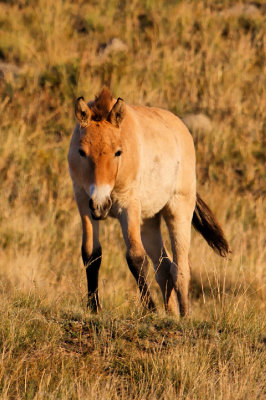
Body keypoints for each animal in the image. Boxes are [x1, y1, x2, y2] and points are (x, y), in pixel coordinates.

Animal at [67, 86, 229, 316]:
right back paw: (171, 315)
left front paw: (150, 310)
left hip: (178, 210)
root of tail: (182, 130)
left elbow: (136, 257)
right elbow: (91, 254)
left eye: (118, 152)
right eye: (82, 152)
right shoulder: (83, 201)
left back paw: (185, 316)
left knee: (180, 268)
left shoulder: (128, 206)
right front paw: (94, 307)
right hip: (149, 221)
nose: (100, 204)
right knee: (164, 267)